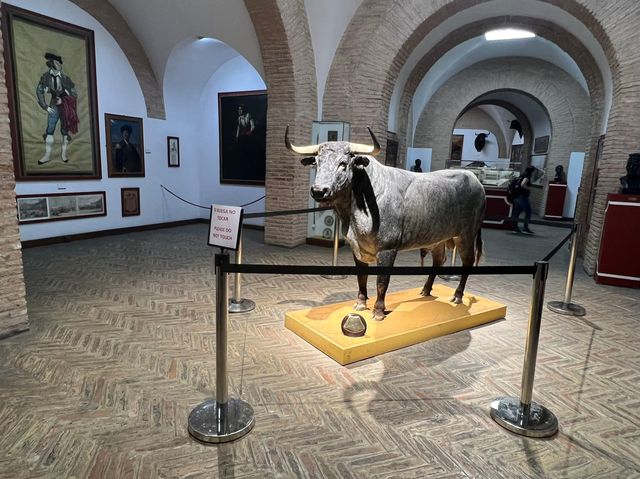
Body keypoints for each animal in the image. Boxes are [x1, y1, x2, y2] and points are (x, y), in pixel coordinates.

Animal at [284, 129, 484, 320]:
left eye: (343, 163)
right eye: (317, 163)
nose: (319, 190)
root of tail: (475, 180)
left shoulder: (388, 249)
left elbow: (382, 281)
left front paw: (378, 311)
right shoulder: (357, 247)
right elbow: (362, 277)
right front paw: (360, 303)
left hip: (466, 235)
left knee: (467, 261)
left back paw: (457, 295)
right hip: (438, 238)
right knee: (438, 260)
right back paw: (426, 290)